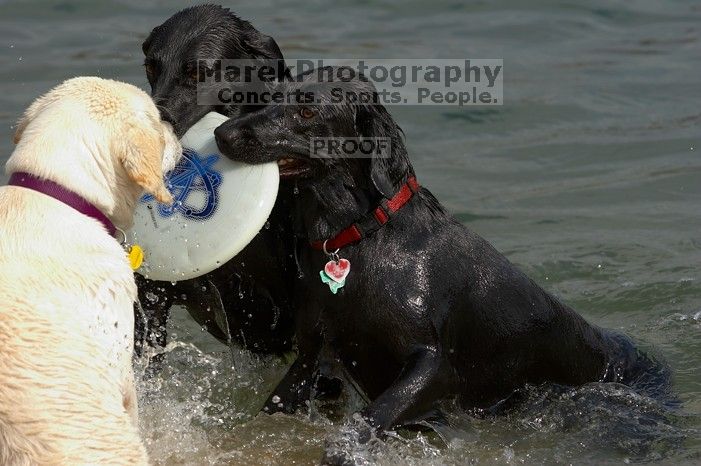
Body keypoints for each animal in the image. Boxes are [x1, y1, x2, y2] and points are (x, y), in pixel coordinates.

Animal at [213, 66, 668, 452]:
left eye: (307, 109)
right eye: (269, 97)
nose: (221, 132)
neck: (359, 238)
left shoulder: (431, 363)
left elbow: (372, 415)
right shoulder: (312, 354)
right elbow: (273, 405)